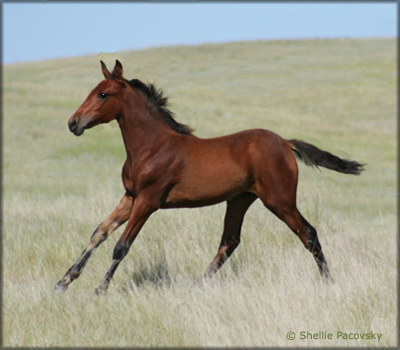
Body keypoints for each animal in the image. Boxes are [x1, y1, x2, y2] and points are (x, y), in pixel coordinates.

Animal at [53, 60, 366, 296]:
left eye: (103, 95)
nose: (73, 123)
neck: (151, 146)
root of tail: (286, 143)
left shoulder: (148, 201)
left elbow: (121, 246)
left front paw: (99, 289)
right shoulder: (130, 197)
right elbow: (99, 233)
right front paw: (63, 282)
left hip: (280, 200)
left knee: (308, 234)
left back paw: (329, 282)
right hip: (240, 199)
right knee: (229, 242)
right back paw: (195, 286)